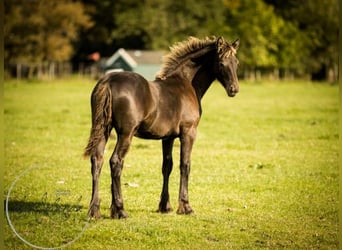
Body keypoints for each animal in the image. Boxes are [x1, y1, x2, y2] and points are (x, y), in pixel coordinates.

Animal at [84, 36, 239, 218]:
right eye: (221, 63)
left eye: (236, 62)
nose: (234, 89)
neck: (186, 84)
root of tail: (109, 81)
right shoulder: (189, 133)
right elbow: (185, 165)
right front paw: (185, 206)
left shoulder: (168, 138)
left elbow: (167, 166)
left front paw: (165, 206)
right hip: (125, 134)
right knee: (116, 162)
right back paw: (120, 210)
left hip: (104, 130)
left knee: (97, 160)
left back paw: (95, 210)